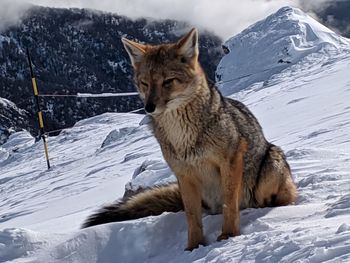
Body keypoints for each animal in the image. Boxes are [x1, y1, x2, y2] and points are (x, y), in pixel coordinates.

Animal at [82, 28, 298, 252]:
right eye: (145, 84)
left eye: (168, 81)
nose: (148, 108)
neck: (182, 134)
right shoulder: (184, 174)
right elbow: (192, 217)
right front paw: (194, 246)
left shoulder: (230, 160)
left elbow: (230, 204)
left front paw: (229, 235)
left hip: (269, 168)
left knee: (280, 196)